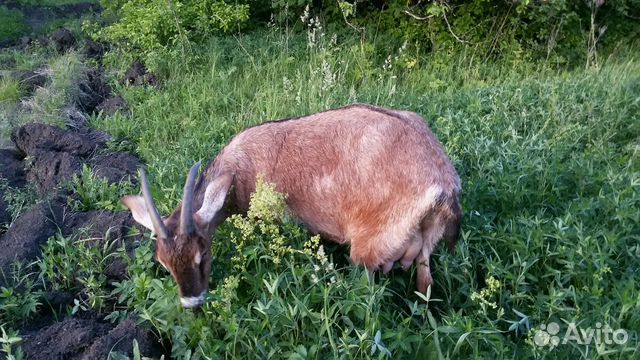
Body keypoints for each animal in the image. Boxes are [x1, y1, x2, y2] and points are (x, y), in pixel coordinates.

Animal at [121, 102, 460, 308]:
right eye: (164, 263)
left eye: (201, 255)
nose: (193, 303)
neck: (238, 169)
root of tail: (443, 184)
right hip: (424, 252)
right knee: (425, 288)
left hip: (368, 249)